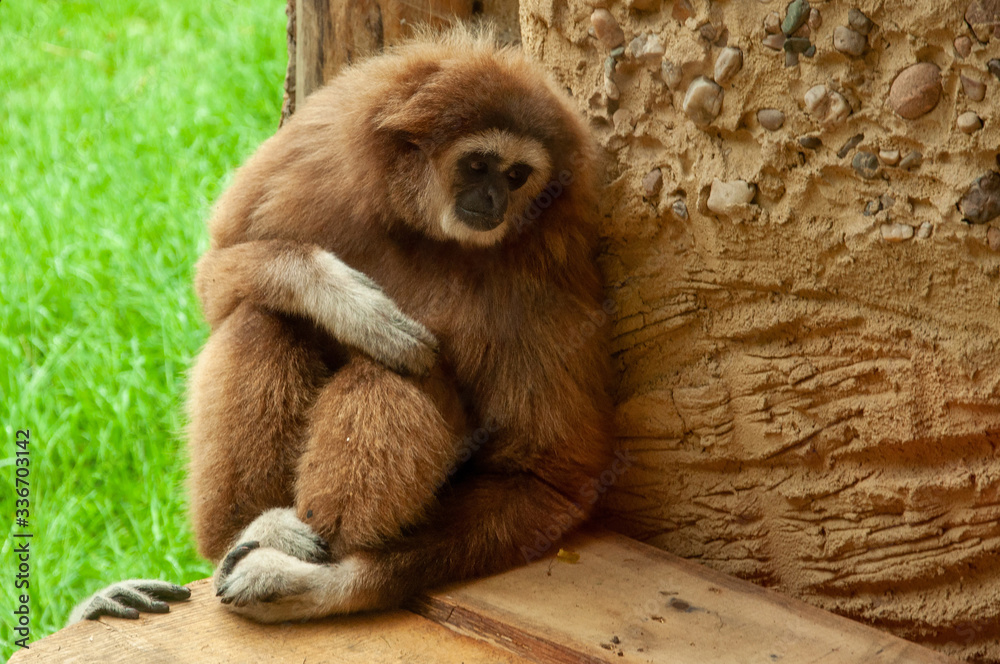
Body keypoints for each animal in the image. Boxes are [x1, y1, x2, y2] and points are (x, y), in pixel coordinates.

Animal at [72, 27, 613, 624]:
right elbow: (214, 274)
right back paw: (248, 529)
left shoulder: (548, 286)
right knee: (261, 318)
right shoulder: (317, 151)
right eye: (478, 165)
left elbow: (544, 482)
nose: (494, 199)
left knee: (396, 373)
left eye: (518, 175)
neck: (424, 231)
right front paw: (346, 302)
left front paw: (320, 585)